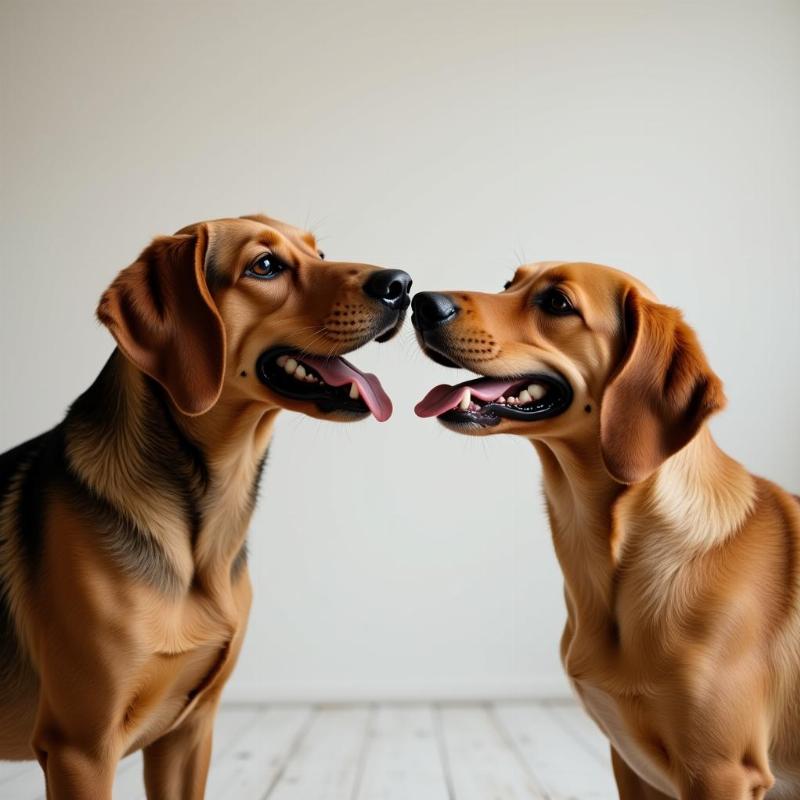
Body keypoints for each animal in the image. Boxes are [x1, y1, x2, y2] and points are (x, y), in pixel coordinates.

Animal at [0, 214, 412, 800]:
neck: (204, 522)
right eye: (265, 265)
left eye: (319, 253)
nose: (402, 284)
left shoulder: (188, 732)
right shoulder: (81, 749)